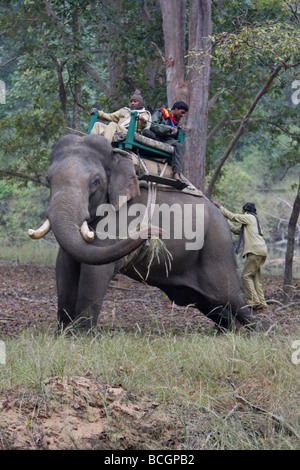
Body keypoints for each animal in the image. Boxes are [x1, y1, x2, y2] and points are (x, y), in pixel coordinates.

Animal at [28, 132, 268, 330]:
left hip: (216, 248)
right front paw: (63, 334)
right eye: (48, 179)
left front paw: (81, 335)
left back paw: (260, 332)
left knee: (230, 296)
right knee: (209, 302)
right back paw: (231, 332)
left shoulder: (123, 215)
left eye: (96, 181)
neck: (119, 157)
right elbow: (64, 265)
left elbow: (95, 271)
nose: (158, 232)